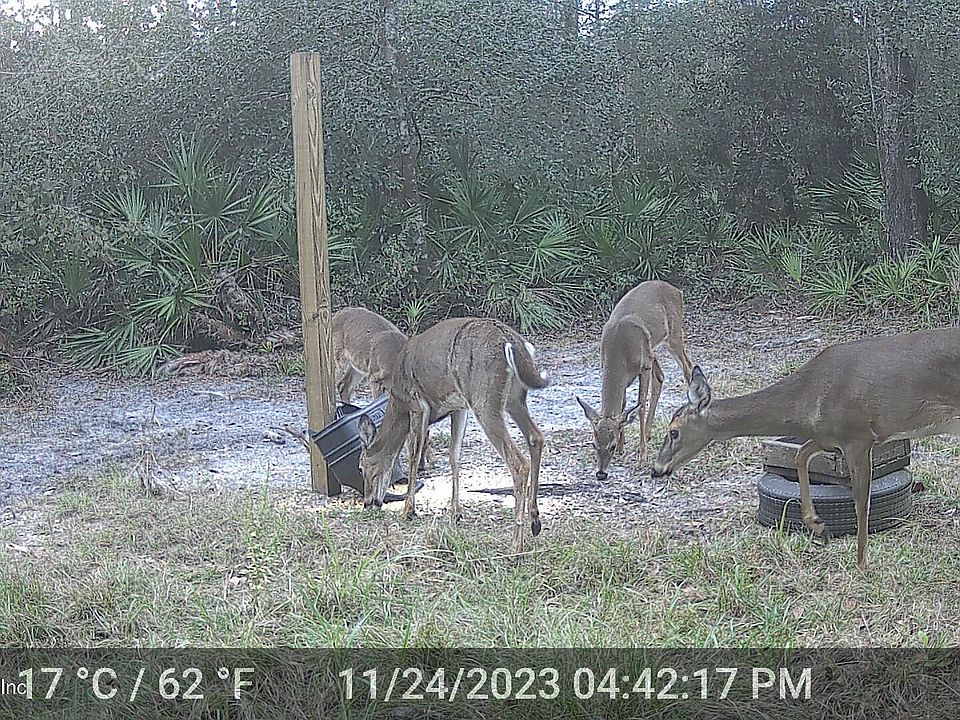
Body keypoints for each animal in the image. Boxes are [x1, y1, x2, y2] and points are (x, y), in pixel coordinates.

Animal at [332, 306, 433, 471]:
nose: (420, 467)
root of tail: (338, 313)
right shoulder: (374, 377)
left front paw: (432, 457)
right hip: (339, 355)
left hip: (357, 366)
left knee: (343, 385)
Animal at [356, 317, 550, 554]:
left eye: (362, 467)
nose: (368, 502)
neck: (398, 403)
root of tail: (511, 341)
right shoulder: (459, 407)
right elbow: (454, 456)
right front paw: (456, 513)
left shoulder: (417, 404)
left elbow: (413, 456)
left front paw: (408, 510)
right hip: (514, 398)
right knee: (536, 437)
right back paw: (535, 522)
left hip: (484, 399)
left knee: (519, 463)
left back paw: (516, 546)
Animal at [576, 280, 694, 480]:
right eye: (594, 444)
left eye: (610, 446)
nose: (601, 473)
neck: (619, 353)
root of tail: (676, 290)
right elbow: (624, 407)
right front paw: (624, 447)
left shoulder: (643, 366)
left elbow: (639, 406)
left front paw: (641, 456)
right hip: (653, 350)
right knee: (661, 376)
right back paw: (648, 434)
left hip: (674, 335)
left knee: (688, 368)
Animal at [650, 326, 960, 571]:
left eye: (673, 431)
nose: (656, 469)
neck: (807, 398)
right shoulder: (828, 439)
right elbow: (800, 456)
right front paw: (817, 525)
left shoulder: (858, 437)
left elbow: (861, 503)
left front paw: (861, 564)